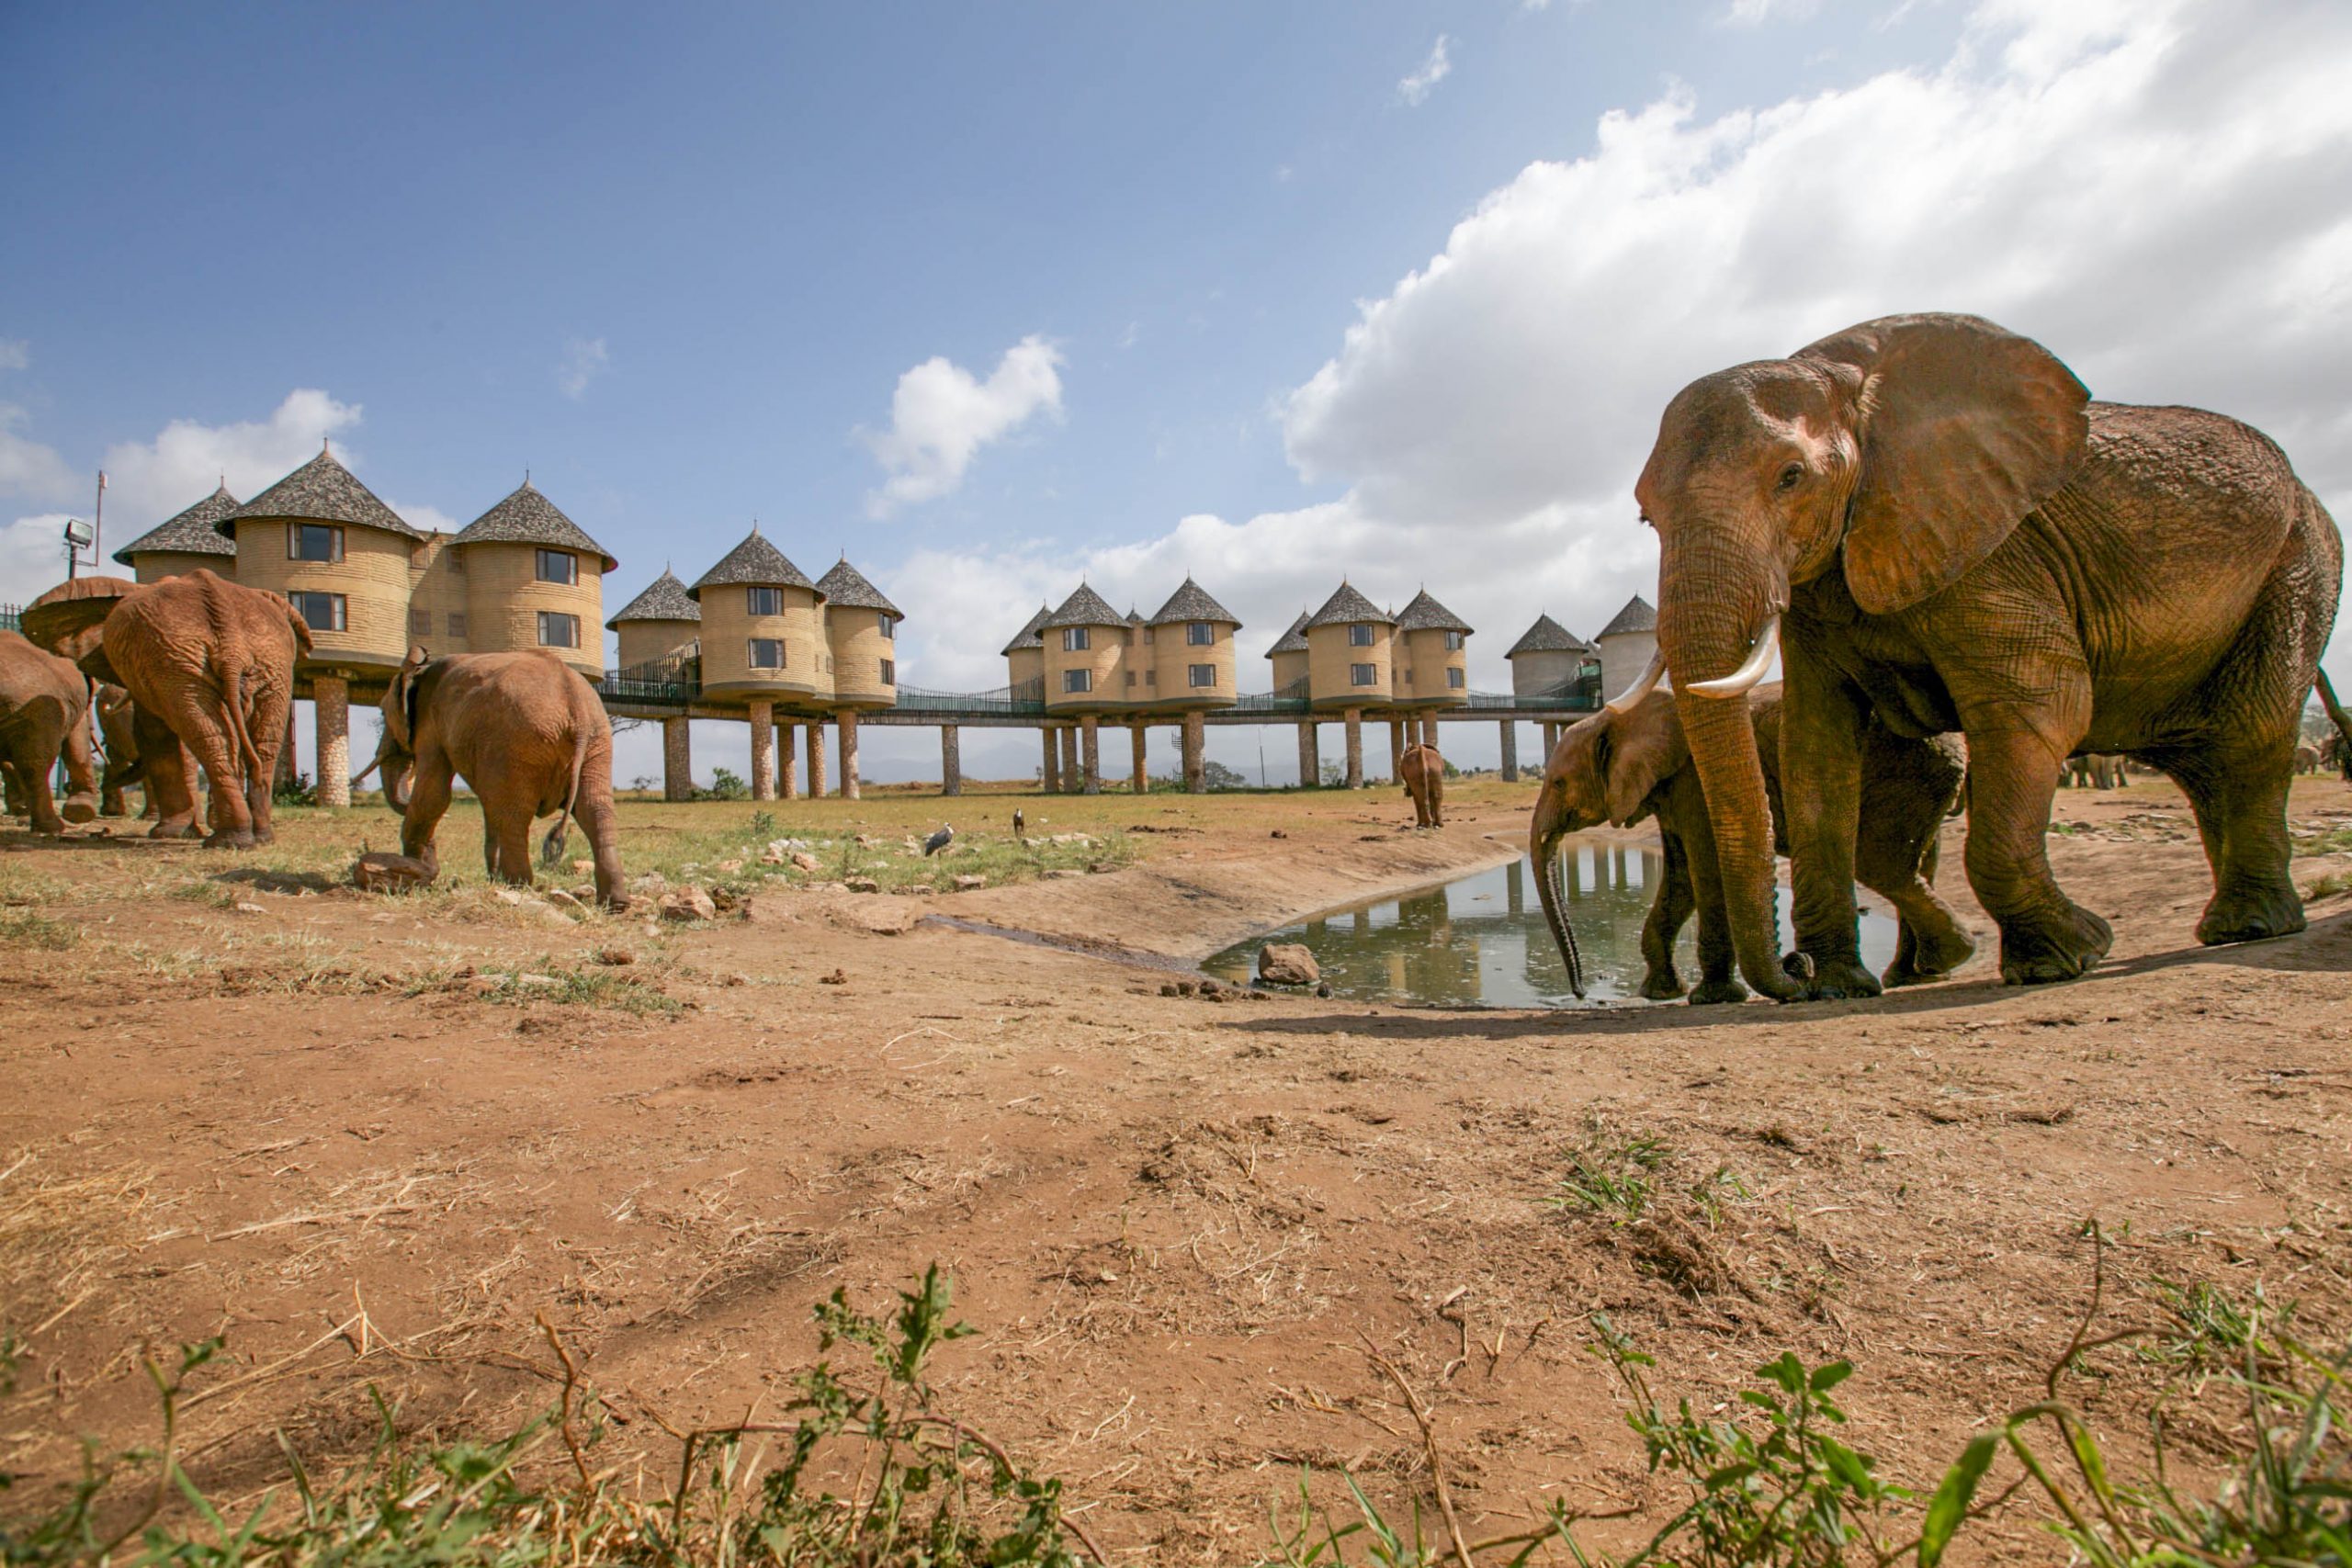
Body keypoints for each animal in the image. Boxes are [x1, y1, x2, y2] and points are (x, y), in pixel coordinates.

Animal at [74, 573, 305, 846]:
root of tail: (231, 646)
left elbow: (153, 733)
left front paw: (170, 833)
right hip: (269, 664)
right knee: (261, 741)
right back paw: (257, 837)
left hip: (178, 664)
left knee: (207, 737)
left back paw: (226, 840)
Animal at [353, 639, 620, 907]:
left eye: (382, 712)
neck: (421, 668)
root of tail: (576, 707)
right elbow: (488, 804)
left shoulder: (431, 723)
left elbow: (433, 797)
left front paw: (418, 872)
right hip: (595, 743)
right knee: (593, 809)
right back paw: (615, 904)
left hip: (518, 741)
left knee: (515, 814)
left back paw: (517, 885)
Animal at [1523, 686, 1966, 1006]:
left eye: (1558, 783)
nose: (1581, 992)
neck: (1616, 716)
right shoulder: (1671, 787)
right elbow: (1679, 881)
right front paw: (1660, 993)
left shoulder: (1694, 782)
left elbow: (1703, 868)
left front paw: (1711, 998)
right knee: (1915, 864)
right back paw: (1917, 973)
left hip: (1905, 771)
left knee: (1883, 864)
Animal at [1627, 314, 2342, 1001]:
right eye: (1645, 517)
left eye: (1790, 477)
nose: (1791, 969)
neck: (1844, 384)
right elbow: (1816, 746)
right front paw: (1837, 986)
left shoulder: (1995, 547)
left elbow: (2044, 704)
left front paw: (2068, 956)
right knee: (2202, 763)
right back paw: (2232, 924)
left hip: (2300, 560)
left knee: (2253, 733)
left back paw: (2250, 926)